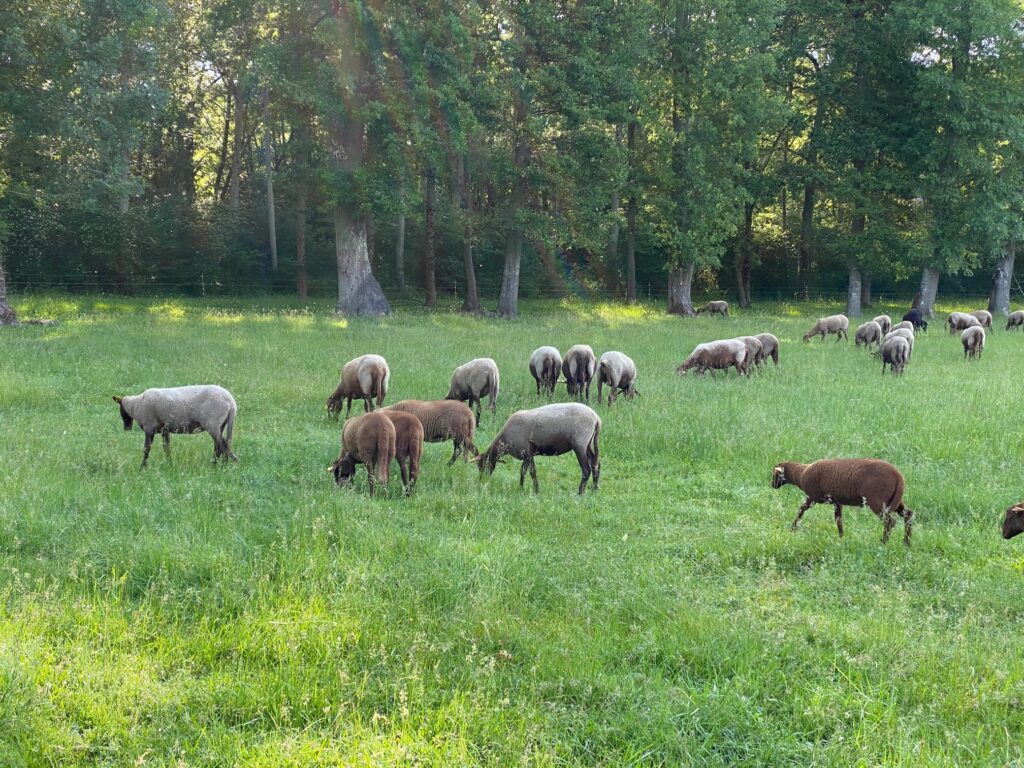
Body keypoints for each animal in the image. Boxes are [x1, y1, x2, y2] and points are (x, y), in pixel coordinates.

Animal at [772, 459, 914, 546]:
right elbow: (838, 520)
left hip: (877, 501)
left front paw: (793, 528)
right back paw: (907, 543)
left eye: (775, 474)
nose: (772, 485)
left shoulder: (812, 497)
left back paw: (883, 543)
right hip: (894, 501)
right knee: (908, 515)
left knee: (890, 521)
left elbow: (801, 509)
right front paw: (841, 538)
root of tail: (898, 476)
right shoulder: (837, 501)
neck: (801, 474)